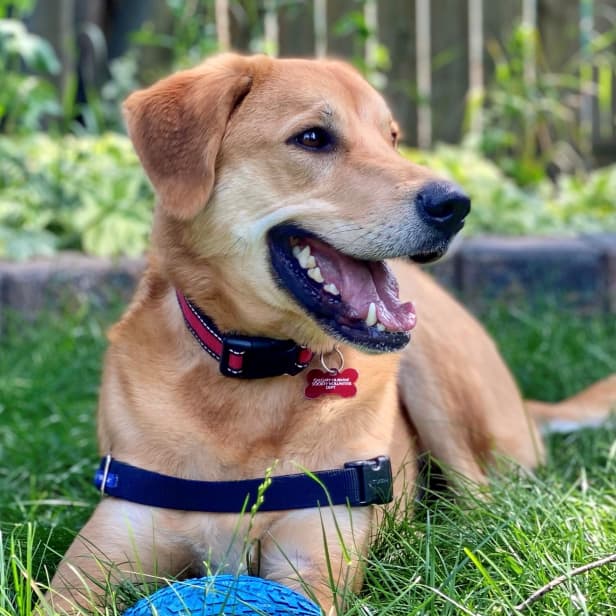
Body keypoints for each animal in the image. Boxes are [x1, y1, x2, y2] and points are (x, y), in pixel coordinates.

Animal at [44, 55, 616, 612]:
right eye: (314, 137)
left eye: (391, 138)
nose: (456, 204)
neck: (251, 380)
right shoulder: (94, 563)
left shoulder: (312, 559)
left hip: (439, 381)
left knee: (484, 506)